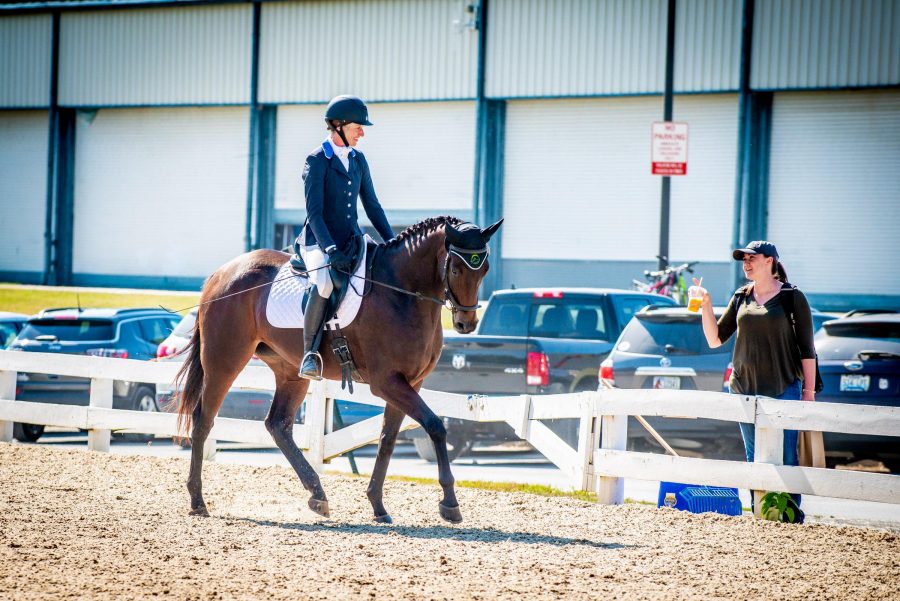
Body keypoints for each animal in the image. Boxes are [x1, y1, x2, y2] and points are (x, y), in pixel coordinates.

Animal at [174, 215, 503, 524]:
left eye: (484, 269)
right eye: (457, 269)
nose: (466, 324)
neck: (401, 294)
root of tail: (221, 273)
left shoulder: (411, 382)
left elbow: (387, 439)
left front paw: (377, 505)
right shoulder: (387, 382)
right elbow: (435, 425)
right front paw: (450, 503)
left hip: (289, 370)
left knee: (278, 425)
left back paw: (317, 494)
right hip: (224, 360)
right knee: (203, 420)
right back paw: (197, 501)